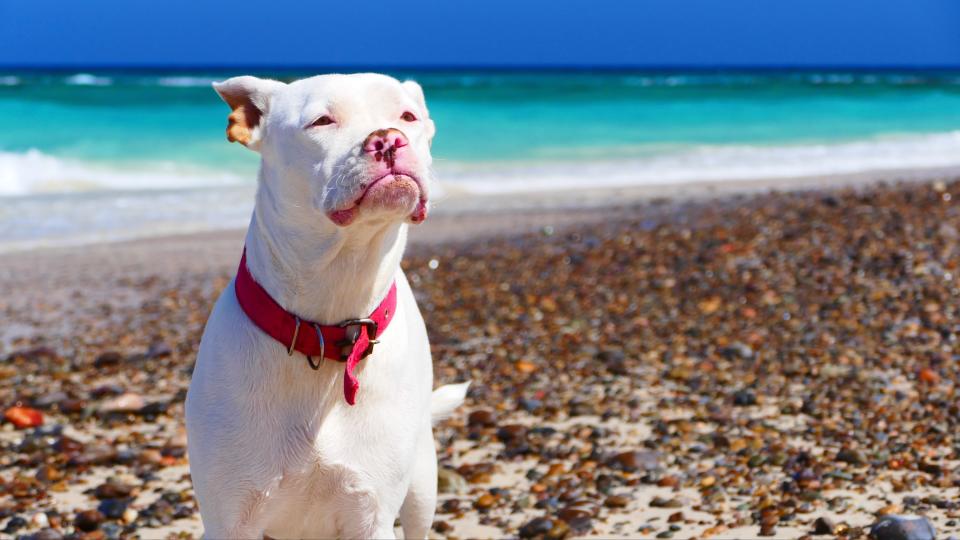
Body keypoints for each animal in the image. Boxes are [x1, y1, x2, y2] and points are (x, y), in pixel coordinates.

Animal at [185, 73, 468, 540]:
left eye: (407, 116)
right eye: (321, 121)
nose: (388, 139)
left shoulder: (371, 515)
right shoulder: (230, 520)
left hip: (422, 484)